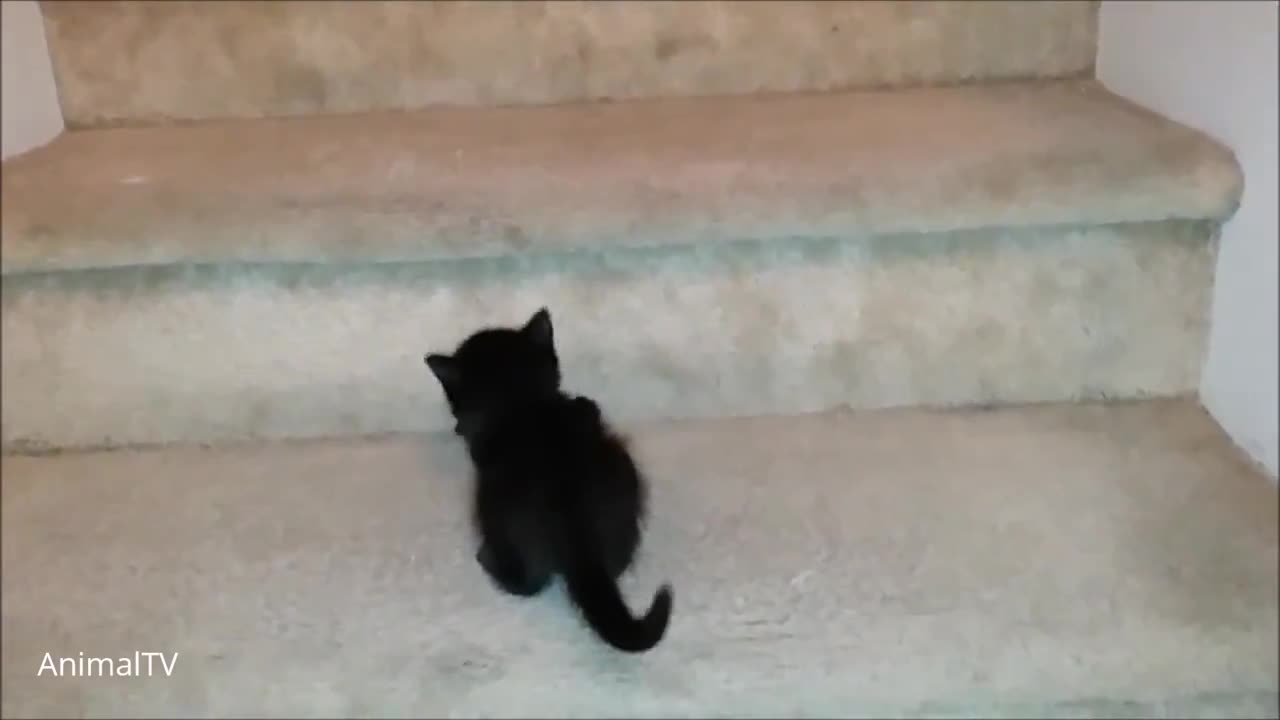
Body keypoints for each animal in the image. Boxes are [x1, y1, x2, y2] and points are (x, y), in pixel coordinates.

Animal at [424, 304, 675, 653]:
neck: (520, 401)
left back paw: (489, 560)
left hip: (496, 512)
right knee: (618, 562)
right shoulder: (584, 409)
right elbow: (587, 406)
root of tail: (574, 524)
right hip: (624, 488)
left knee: (529, 584)